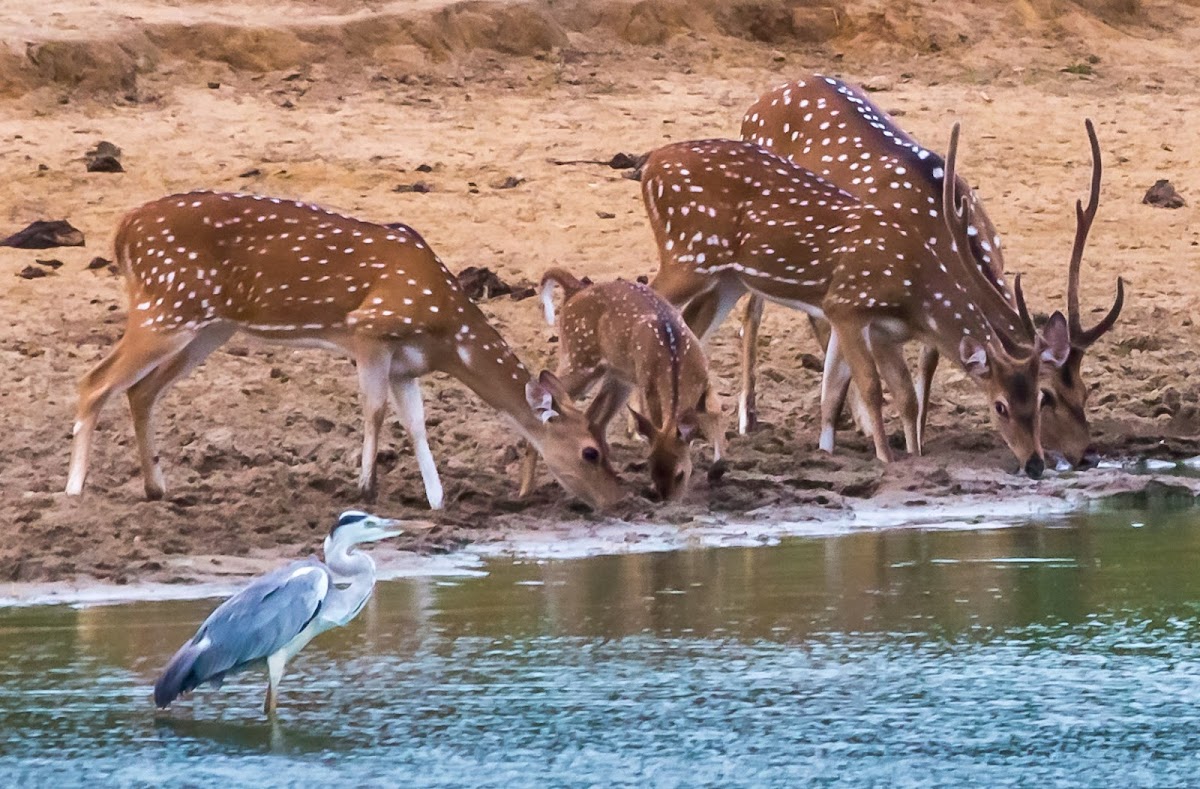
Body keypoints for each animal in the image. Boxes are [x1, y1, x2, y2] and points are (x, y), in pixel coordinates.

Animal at [63, 193, 628, 506]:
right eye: (591, 450)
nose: (617, 500)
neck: (444, 328)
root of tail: (123, 231)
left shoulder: (407, 365)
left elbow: (416, 423)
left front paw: (438, 500)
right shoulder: (370, 331)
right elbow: (374, 410)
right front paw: (366, 489)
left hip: (206, 327)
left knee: (141, 391)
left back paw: (158, 488)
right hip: (166, 306)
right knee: (93, 381)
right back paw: (74, 490)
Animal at [520, 266, 724, 498]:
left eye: (680, 474)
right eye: (652, 468)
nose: (667, 500)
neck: (675, 361)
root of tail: (575, 290)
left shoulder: (704, 379)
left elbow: (715, 408)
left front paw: (719, 466)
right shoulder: (648, 386)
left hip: (617, 375)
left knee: (593, 419)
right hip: (578, 359)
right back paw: (525, 491)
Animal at [734, 74, 1118, 462]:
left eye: (1084, 391)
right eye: (1046, 396)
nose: (1083, 453)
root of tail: (761, 102)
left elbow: (926, 365)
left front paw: (916, 438)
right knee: (753, 309)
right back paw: (748, 417)